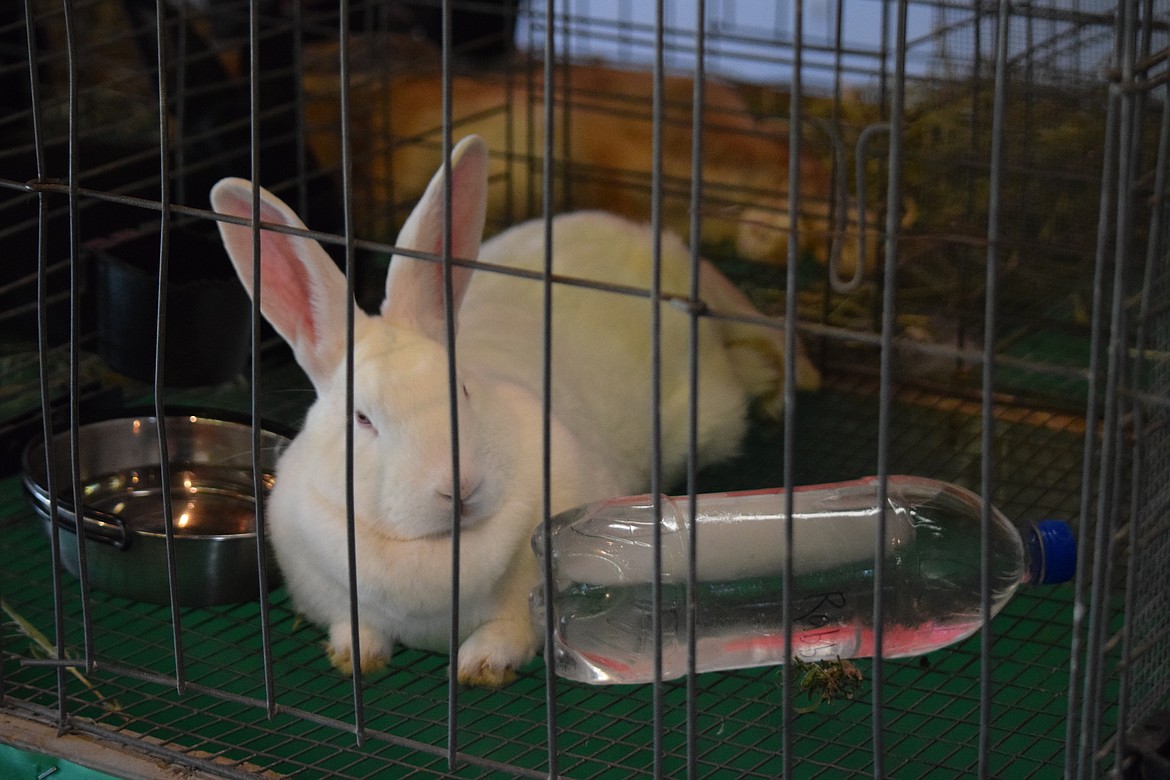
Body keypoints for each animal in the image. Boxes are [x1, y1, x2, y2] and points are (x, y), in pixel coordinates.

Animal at [210, 134, 819, 687]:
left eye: (463, 390)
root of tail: (658, 245)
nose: (456, 487)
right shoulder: (331, 593)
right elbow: (355, 626)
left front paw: (480, 666)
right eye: (362, 420)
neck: (435, 552)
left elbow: (512, 630)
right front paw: (354, 658)